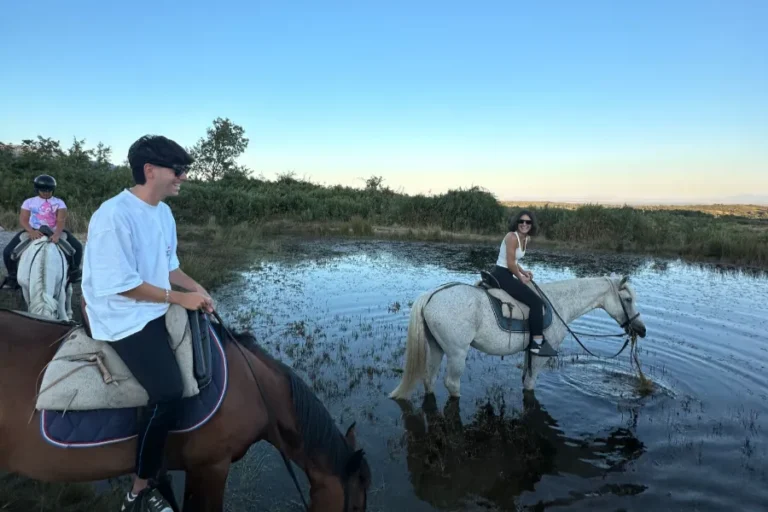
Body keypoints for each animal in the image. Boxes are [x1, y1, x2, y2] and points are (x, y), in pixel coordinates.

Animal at [389, 274, 647, 399]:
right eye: (628, 299)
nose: (641, 330)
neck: (559, 303)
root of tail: (432, 295)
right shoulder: (541, 357)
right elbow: (530, 384)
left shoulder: (529, 353)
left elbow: (525, 379)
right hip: (456, 353)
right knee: (452, 384)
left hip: (436, 347)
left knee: (429, 379)